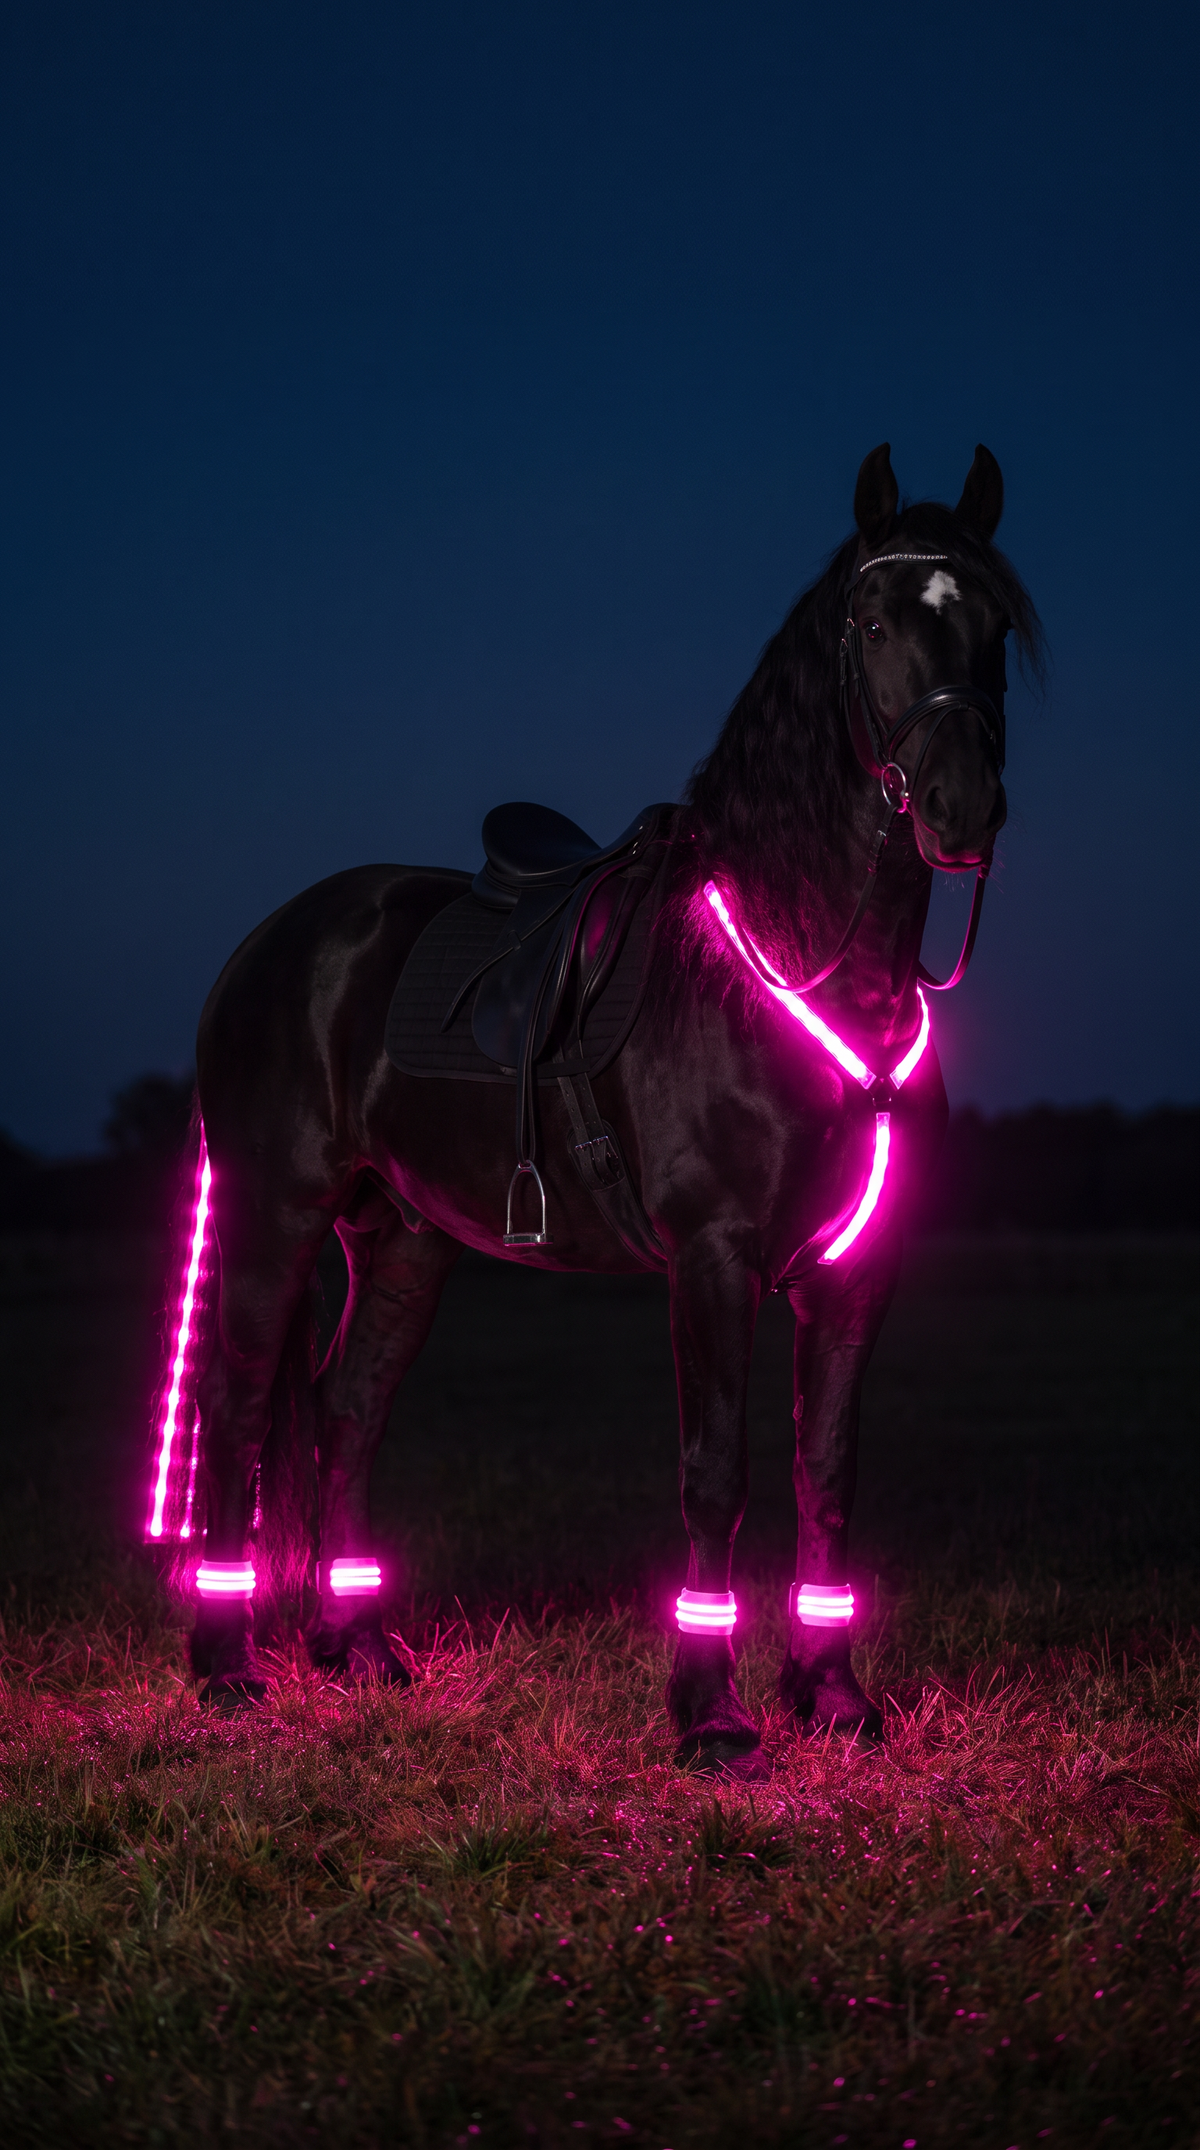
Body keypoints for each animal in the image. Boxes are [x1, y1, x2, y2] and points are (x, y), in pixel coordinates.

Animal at [148, 441, 1042, 1778]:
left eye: (992, 623)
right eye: (877, 619)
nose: (961, 807)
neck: (803, 963)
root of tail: (272, 943)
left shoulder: (855, 1268)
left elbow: (827, 1466)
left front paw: (833, 1699)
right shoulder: (714, 1261)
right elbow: (716, 1473)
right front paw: (712, 1716)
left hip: (403, 1241)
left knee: (347, 1411)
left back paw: (356, 1651)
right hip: (271, 1214)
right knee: (240, 1404)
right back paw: (227, 1669)